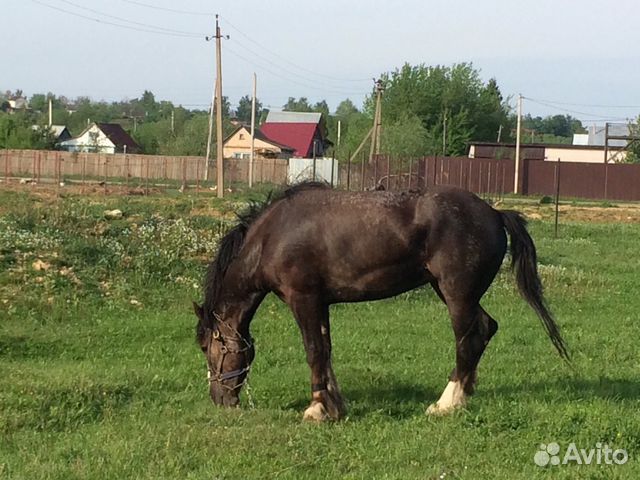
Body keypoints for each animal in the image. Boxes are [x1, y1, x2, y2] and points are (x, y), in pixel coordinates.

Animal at [192, 182, 568, 422]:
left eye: (209, 347)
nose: (220, 399)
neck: (273, 236)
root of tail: (494, 212)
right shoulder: (321, 304)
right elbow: (326, 351)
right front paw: (335, 406)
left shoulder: (304, 300)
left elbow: (313, 352)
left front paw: (316, 410)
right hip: (454, 293)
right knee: (487, 328)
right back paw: (466, 392)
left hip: (457, 295)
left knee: (469, 338)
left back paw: (447, 402)